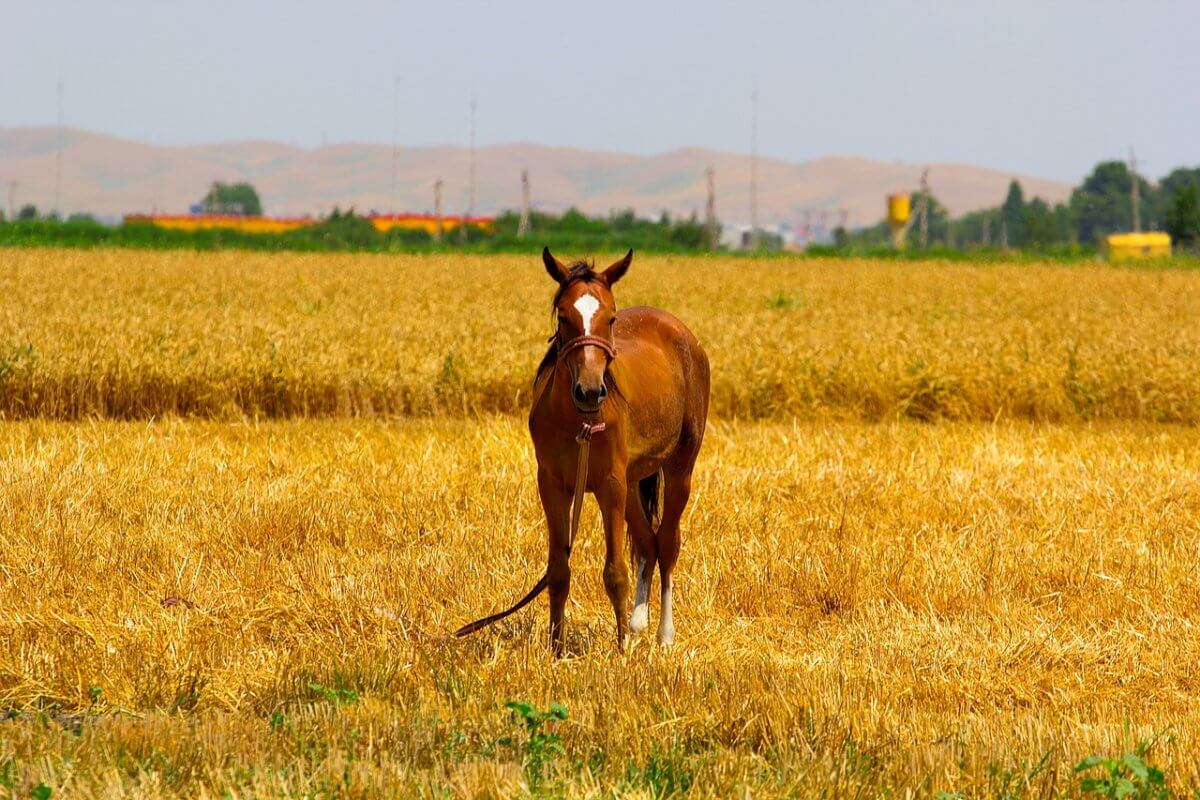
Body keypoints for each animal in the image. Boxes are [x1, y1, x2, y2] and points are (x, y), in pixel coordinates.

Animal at [453, 248, 705, 657]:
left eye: (611, 317)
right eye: (563, 316)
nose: (590, 391)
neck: (579, 420)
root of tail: (680, 332)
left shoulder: (609, 486)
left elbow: (615, 571)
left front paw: (620, 651)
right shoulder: (553, 485)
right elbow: (558, 570)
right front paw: (557, 649)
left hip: (679, 467)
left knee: (667, 543)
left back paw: (663, 635)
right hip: (632, 483)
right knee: (647, 544)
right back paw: (637, 624)